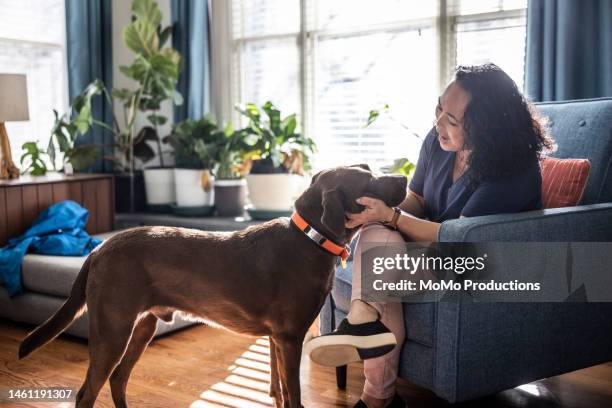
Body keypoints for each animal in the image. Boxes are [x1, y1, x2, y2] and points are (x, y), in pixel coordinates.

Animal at [19, 164, 408, 406]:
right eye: (369, 179)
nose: (405, 179)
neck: (310, 239)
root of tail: (99, 248)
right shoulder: (289, 338)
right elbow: (294, 395)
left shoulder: (276, 340)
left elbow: (280, 391)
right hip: (113, 330)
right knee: (87, 392)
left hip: (142, 327)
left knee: (118, 380)